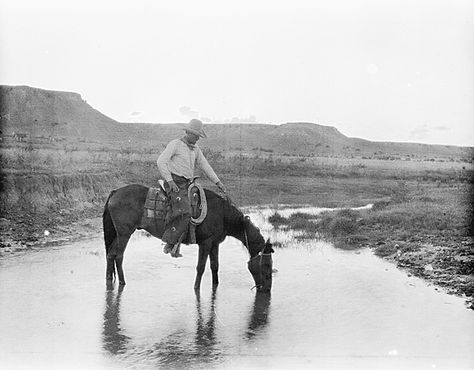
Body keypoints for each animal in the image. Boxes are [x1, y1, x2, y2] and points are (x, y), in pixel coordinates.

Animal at [103, 185, 274, 292]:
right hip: (125, 234)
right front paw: (196, 289)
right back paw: (122, 282)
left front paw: (215, 286)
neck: (221, 215)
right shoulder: (205, 243)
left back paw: (109, 280)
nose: (267, 289)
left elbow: (215, 266)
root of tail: (115, 192)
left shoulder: (215, 244)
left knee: (110, 254)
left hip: (119, 234)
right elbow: (201, 267)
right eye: (266, 265)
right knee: (118, 256)